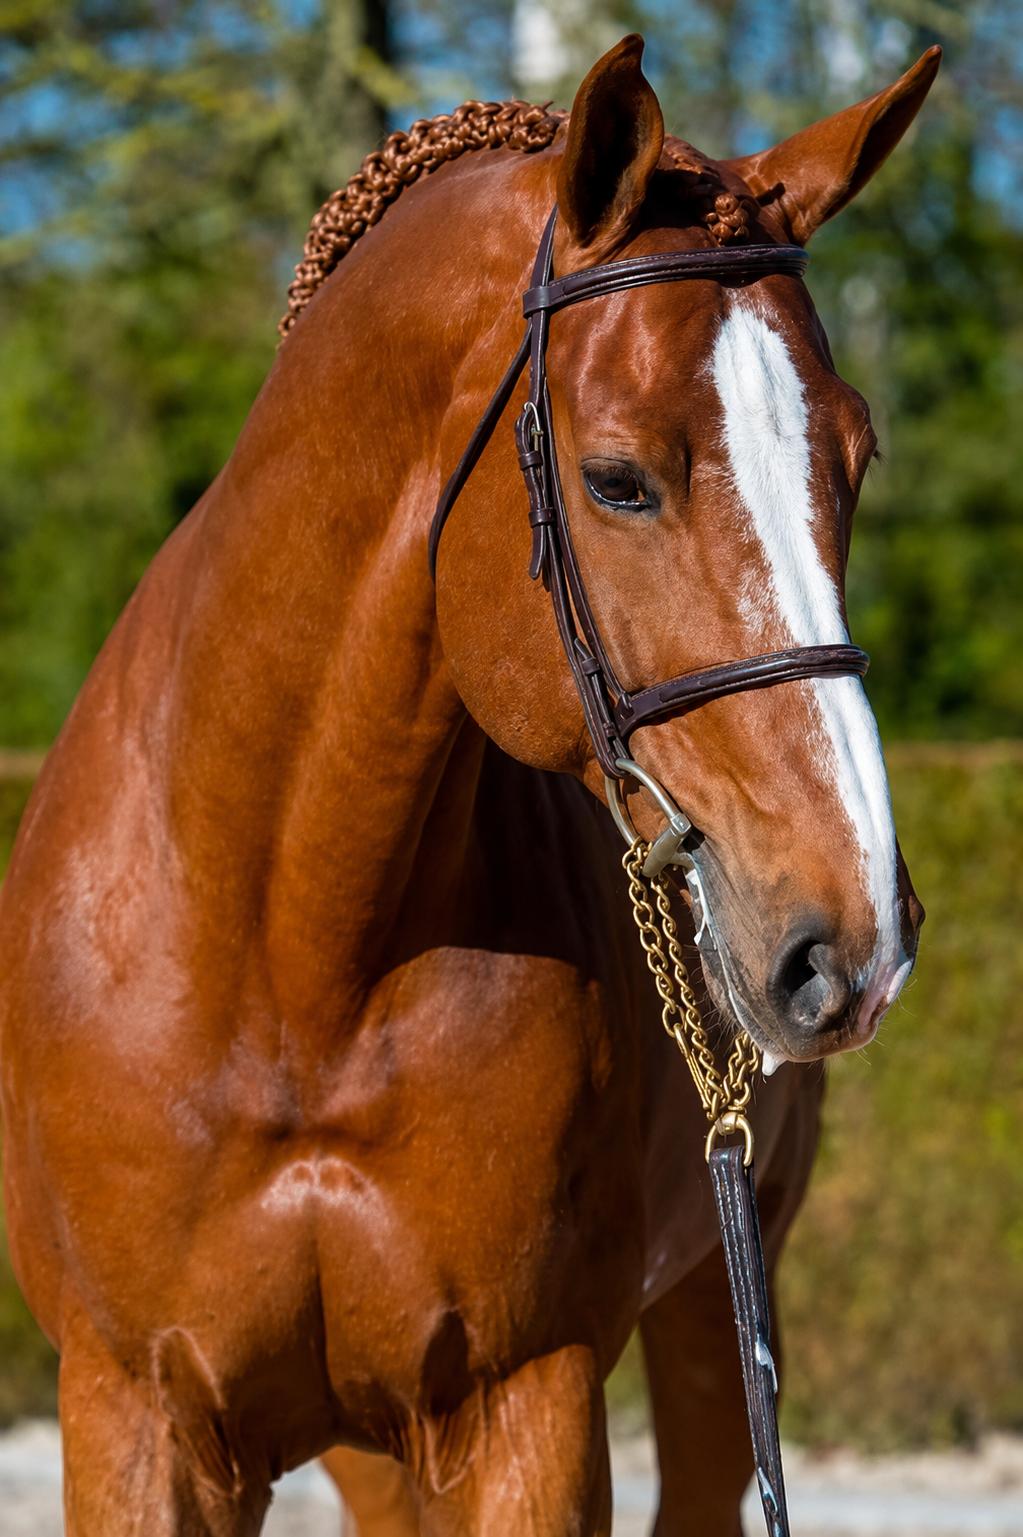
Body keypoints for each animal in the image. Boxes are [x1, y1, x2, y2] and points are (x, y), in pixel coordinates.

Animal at [0, 33, 937, 1537]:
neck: (289, 958)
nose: (851, 939)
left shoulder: (523, 1413)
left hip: (716, 1300)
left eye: (854, 460)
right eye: (616, 482)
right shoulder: (138, 1415)